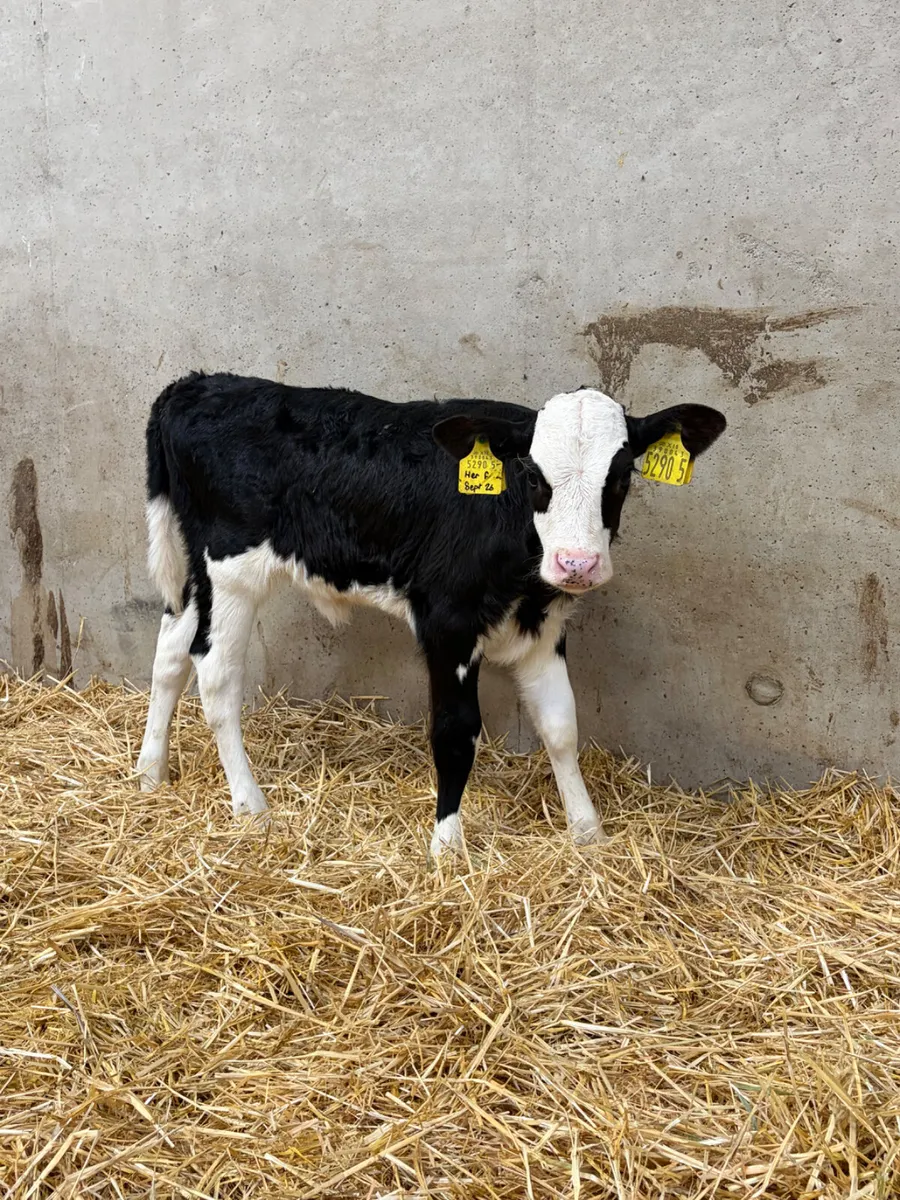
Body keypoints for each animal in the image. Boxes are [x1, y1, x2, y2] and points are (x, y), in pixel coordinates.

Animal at [136, 372, 725, 857]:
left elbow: (561, 725)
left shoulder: (544, 626)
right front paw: (447, 847)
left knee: (170, 650)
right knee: (215, 674)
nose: (576, 563)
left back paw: (150, 775)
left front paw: (588, 833)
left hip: (195, 573)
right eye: (534, 476)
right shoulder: (448, 623)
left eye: (622, 475)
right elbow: (455, 731)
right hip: (230, 569)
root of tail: (199, 383)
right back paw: (250, 806)